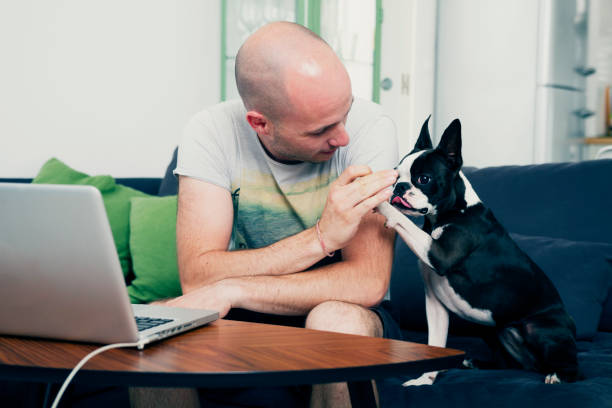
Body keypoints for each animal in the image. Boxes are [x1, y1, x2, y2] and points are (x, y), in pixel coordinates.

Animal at [378, 117, 580, 386]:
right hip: (489, 327)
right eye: (395, 173)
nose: (398, 187)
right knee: (509, 363)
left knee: (573, 368)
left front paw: (376, 203)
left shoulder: (440, 254)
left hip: (541, 329)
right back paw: (473, 362)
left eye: (423, 179)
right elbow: (435, 343)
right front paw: (425, 380)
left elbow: (401, 219)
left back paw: (557, 376)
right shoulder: (435, 305)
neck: (452, 212)